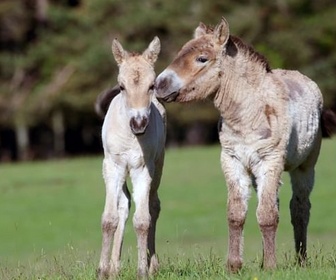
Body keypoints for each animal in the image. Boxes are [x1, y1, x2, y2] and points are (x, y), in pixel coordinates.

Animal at [156, 17, 336, 272]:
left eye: (202, 58)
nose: (159, 84)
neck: (248, 115)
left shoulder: (270, 162)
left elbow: (268, 216)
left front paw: (270, 267)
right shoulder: (233, 162)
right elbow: (237, 214)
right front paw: (234, 266)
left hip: (304, 168)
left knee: (299, 209)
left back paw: (300, 261)